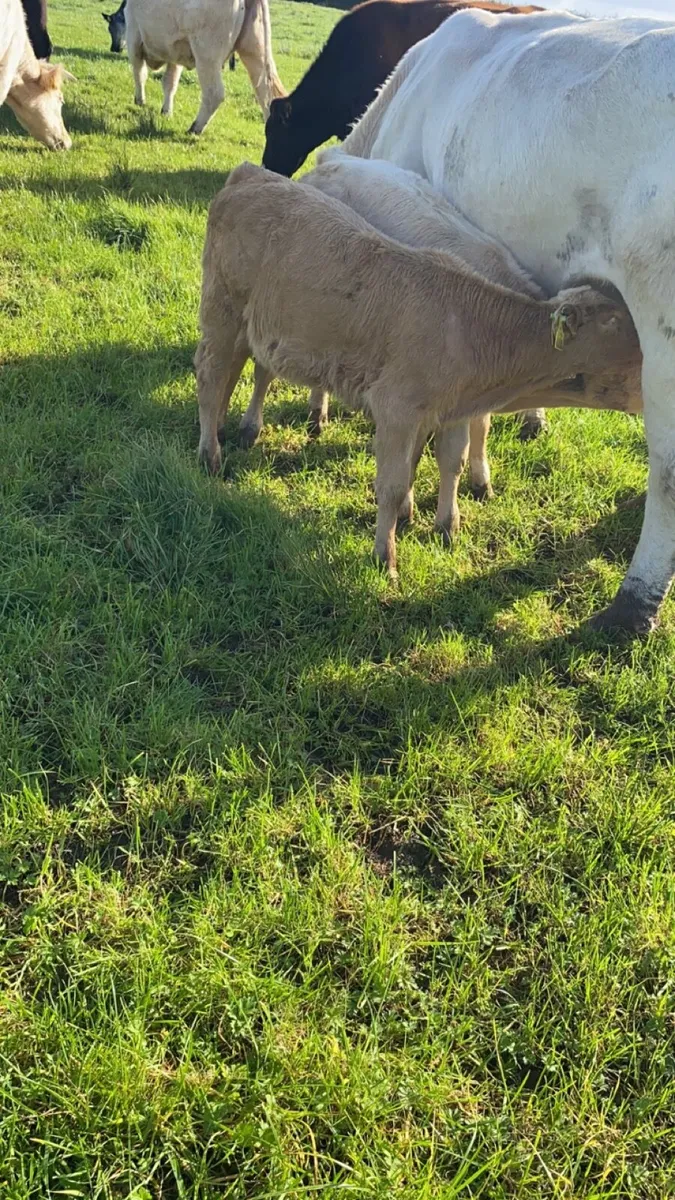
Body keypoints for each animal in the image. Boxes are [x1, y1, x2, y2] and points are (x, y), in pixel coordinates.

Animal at [125, 0, 285, 133]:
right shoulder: (174, 54)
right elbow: (170, 82)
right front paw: (166, 111)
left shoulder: (133, 35)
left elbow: (139, 73)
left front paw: (139, 101)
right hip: (254, 50)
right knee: (266, 93)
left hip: (207, 54)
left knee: (215, 93)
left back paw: (195, 128)